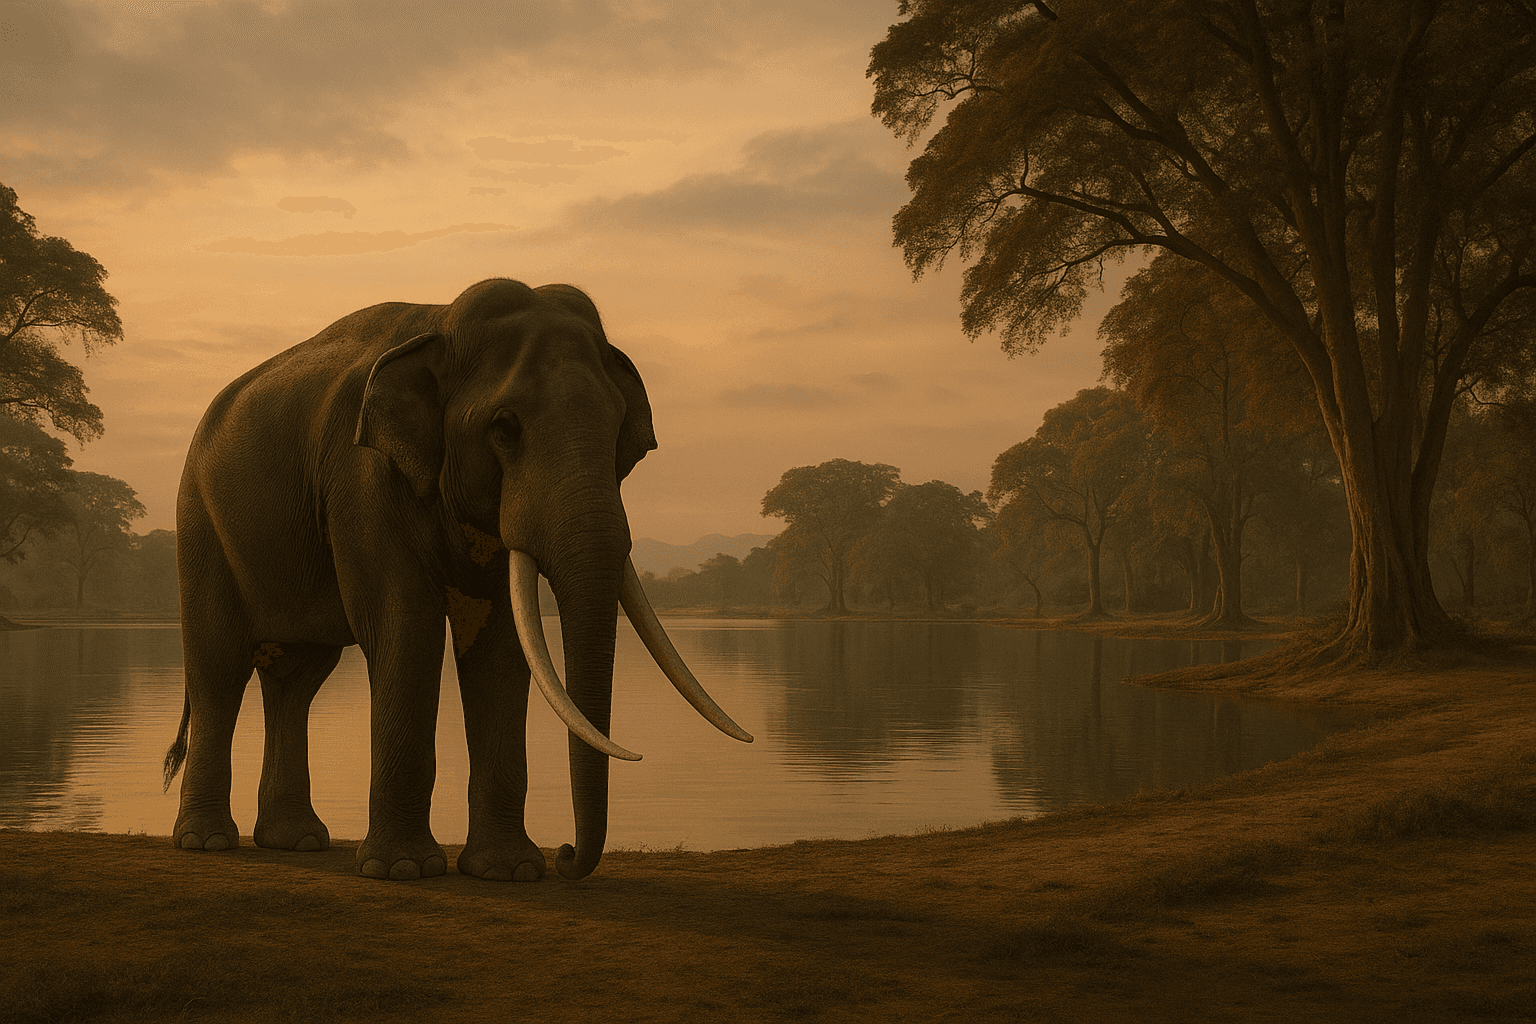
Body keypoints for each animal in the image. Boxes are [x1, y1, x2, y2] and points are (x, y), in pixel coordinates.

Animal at [160, 278, 751, 882]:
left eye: (617, 432)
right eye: (505, 428)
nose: (565, 854)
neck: (440, 323)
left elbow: (501, 644)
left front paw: (509, 872)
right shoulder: (362, 479)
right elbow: (406, 628)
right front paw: (402, 871)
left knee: (297, 679)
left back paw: (297, 841)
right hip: (200, 526)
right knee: (219, 667)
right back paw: (209, 842)